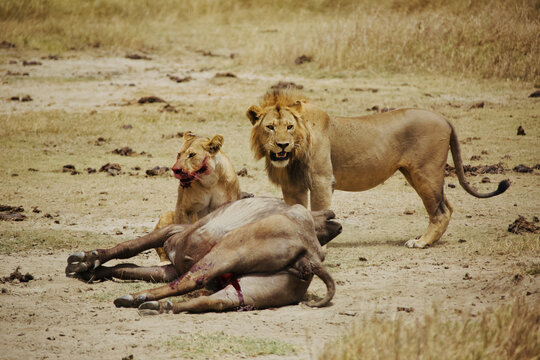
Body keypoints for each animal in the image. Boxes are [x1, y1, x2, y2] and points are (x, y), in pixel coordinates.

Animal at [65, 197, 340, 312]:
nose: (332, 216)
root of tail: (311, 255)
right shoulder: (169, 269)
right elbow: (127, 267)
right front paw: (91, 269)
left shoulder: (172, 232)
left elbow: (129, 247)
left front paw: (87, 260)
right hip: (251, 290)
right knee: (212, 301)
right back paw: (158, 306)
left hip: (224, 254)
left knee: (189, 282)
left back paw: (137, 298)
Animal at [154, 131, 243, 262]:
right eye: (179, 154)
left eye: (191, 155)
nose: (175, 169)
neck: (209, 181)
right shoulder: (184, 209)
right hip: (166, 216)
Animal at [247, 89, 508, 248]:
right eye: (270, 127)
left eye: (289, 127)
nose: (282, 145)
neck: (294, 153)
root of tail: (444, 118)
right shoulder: (292, 185)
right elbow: (296, 212)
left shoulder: (322, 179)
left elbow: (319, 210)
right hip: (415, 174)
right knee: (447, 206)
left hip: (425, 172)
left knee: (440, 210)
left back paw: (421, 242)